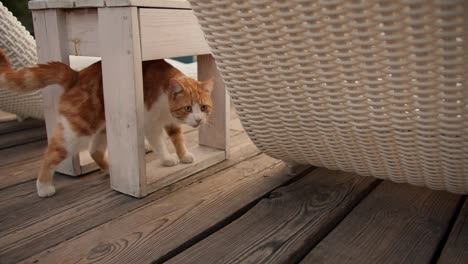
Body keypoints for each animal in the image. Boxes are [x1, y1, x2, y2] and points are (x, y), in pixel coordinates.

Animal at [0, 49, 213, 198]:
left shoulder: (170, 122)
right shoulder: (151, 124)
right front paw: (168, 159)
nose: (199, 120)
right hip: (79, 130)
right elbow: (159, 142)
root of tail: (77, 75)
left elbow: (178, 139)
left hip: (102, 129)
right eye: (188, 108)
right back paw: (44, 186)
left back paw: (111, 170)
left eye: (203, 107)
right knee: (51, 152)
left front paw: (184, 155)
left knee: (94, 150)